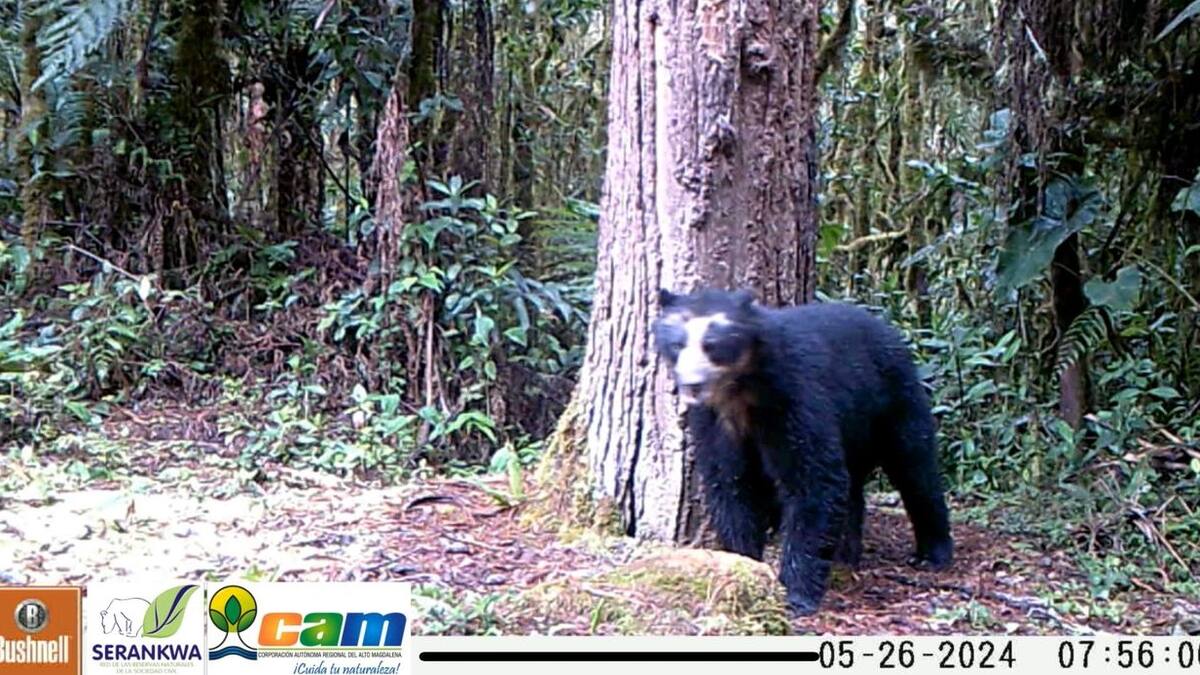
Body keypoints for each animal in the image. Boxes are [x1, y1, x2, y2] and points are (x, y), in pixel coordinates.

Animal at [652, 287, 953, 616]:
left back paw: (932, 551)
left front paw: (796, 593)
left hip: (894, 402)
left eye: (712, 345)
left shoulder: (795, 399)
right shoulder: (714, 421)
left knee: (915, 469)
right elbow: (731, 485)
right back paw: (847, 553)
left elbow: (813, 482)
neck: (741, 391)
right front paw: (743, 562)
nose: (691, 384)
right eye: (677, 344)